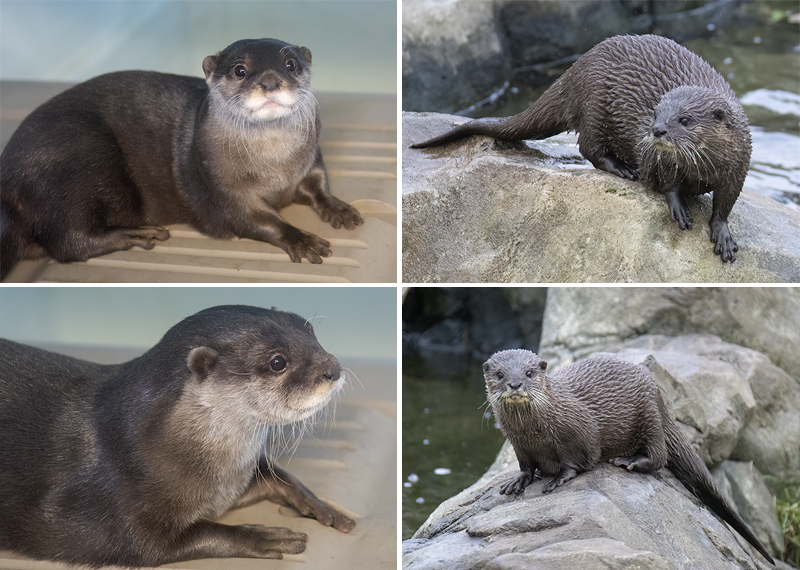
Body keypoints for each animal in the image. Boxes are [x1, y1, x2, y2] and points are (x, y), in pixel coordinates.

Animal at [0, 38, 363, 280]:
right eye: (240, 70)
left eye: (291, 64)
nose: (271, 81)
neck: (274, 168)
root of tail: (9, 176)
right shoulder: (219, 189)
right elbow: (255, 219)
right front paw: (301, 238)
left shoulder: (310, 158)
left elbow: (319, 184)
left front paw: (340, 209)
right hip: (80, 160)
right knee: (68, 241)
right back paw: (138, 234)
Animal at [0, 305, 355, 567]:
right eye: (277, 361)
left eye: (310, 331)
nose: (334, 368)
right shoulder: (112, 514)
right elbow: (160, 543)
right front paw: (261, 536)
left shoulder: (230, 486)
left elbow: (276, 476)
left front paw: (323, 507)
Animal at [411, 35, 751, 263]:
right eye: (656, 112)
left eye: (684, 119)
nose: (657, 130)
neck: (703, 167)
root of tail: (576, 69)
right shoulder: (661, 160)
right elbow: (667, 183)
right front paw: (679, 207)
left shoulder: (738, 168)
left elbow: (725, 204)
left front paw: (723, 235)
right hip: (594, 106)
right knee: (589, 148)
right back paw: (622, 168)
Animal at [483, 349, 774, 565]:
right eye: (500, 374)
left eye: (529, 373)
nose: (515, 384)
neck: (535, 430)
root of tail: (658, 391)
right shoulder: (518, 443)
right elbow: (526, 466)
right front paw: (517, 481)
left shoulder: (578, 432)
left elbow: (576, 459)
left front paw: (559, 479)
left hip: (649, 416)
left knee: (660, 455)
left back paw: (629, 461)